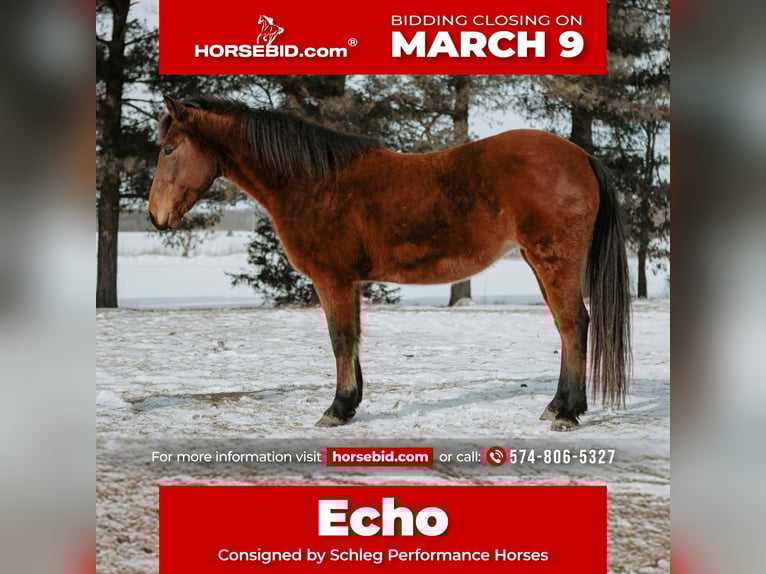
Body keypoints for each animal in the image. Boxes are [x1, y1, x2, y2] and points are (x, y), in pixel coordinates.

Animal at [148, 95, 631, 431]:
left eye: (169, 149)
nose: (156, 216)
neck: (313, 182)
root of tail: (582, 156)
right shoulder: (350, 283)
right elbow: (354, 340)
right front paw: (351, 404)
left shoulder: (332, 280)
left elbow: (341, 339)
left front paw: (336, 409)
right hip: (540, 263)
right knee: (570, 327)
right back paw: (560, 405)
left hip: (554, 262)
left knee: (574, 325)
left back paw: (567, 413)